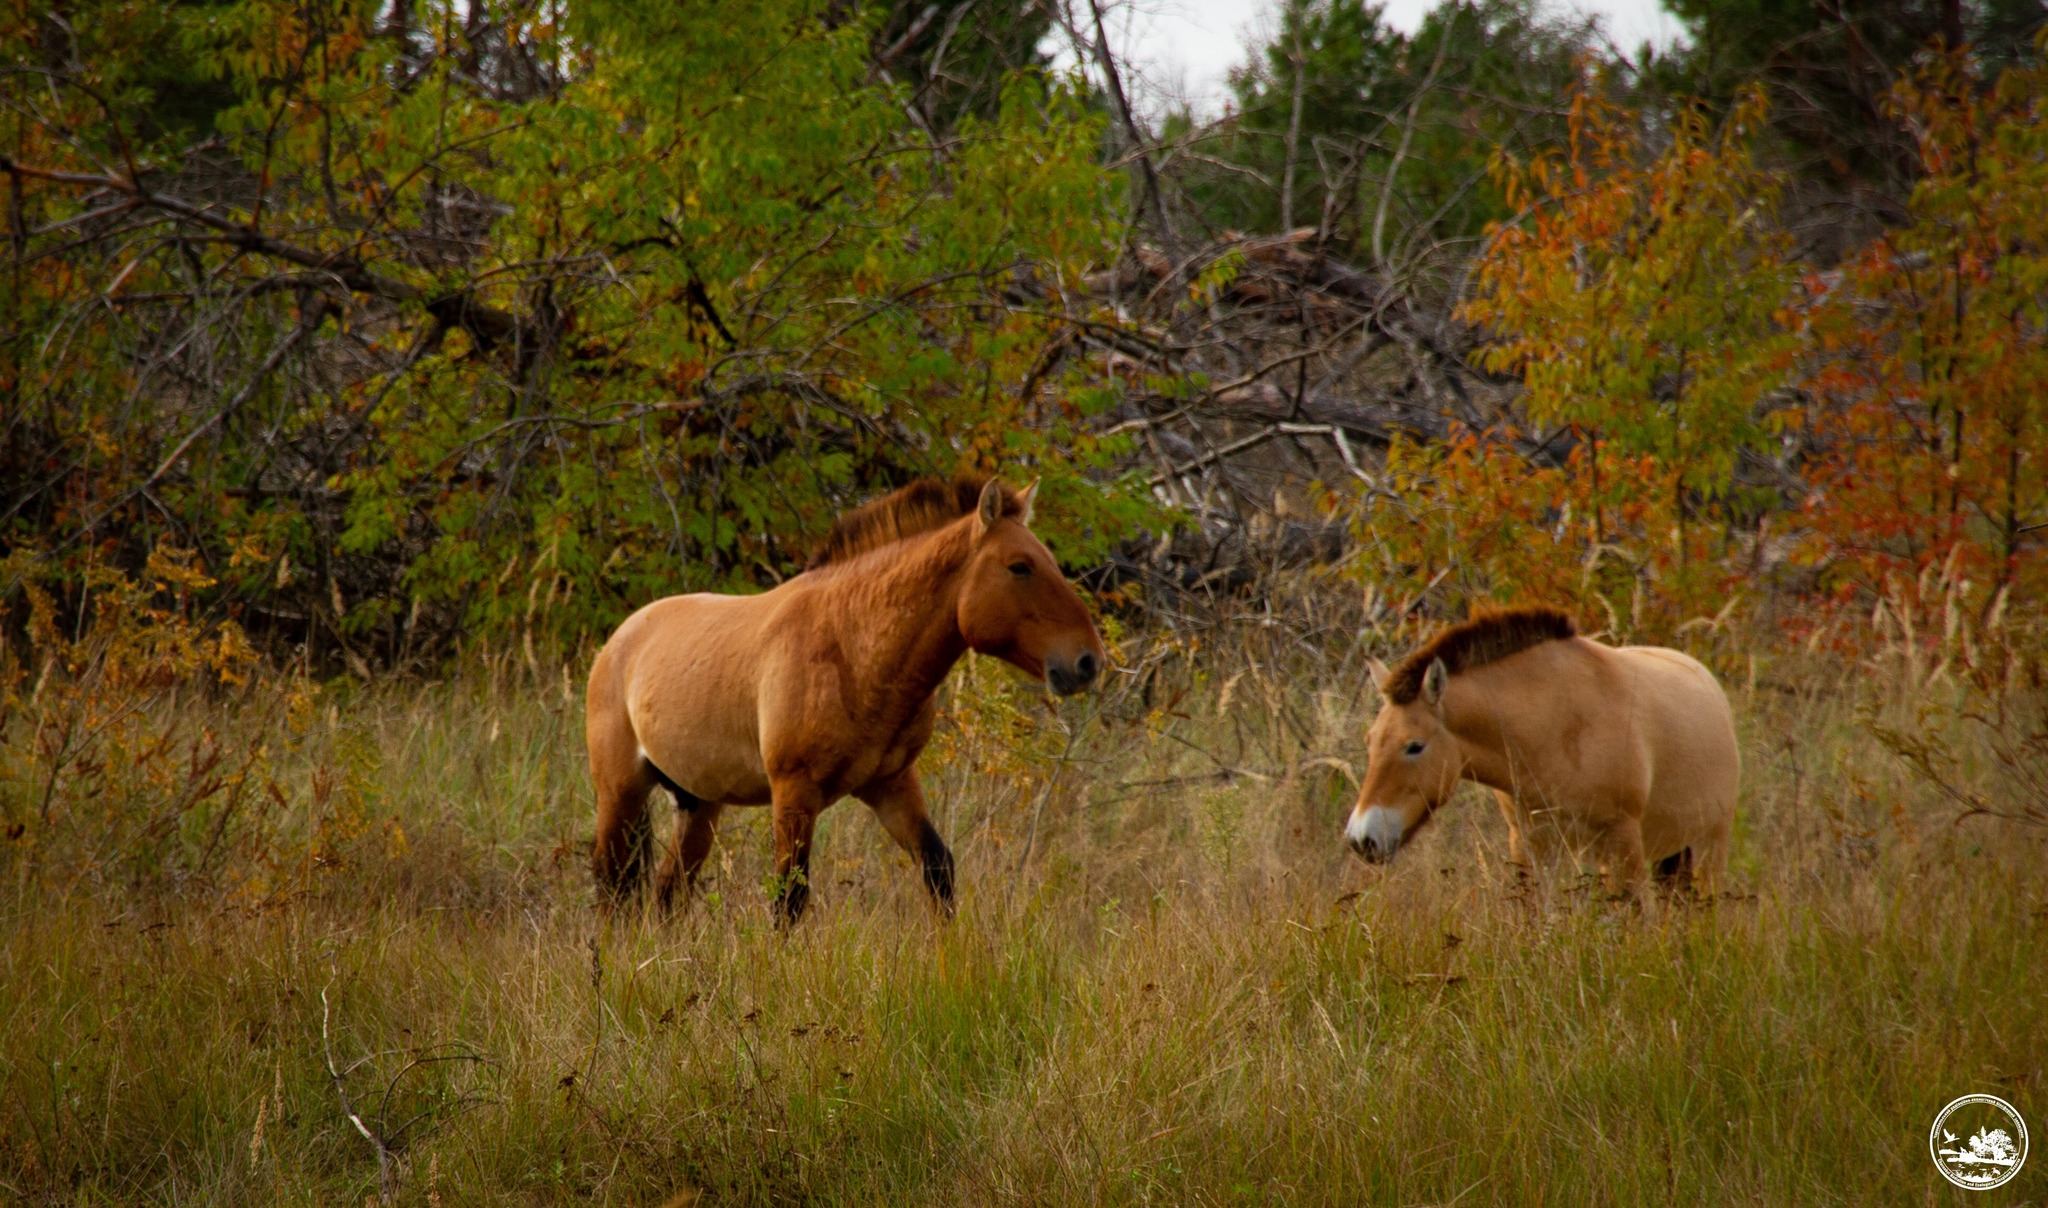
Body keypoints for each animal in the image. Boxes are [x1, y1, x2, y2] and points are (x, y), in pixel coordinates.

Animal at [589, 479, 1105, 921]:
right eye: (1020, 566)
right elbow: (790, 899)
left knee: (665, 893)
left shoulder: (891, 785)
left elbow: (938, 867)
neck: (851, 647)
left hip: (698, 804)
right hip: (621, 794)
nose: (1088, 661)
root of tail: (618, 641)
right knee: (611, 886)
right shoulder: (794, 793)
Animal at [1351, 606, 1736, 900]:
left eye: (1414, 746)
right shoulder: (1530, 846)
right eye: (1370, 740)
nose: (1361, 840)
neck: (1553, 727)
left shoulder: (1624, 842)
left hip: (1707, 848)